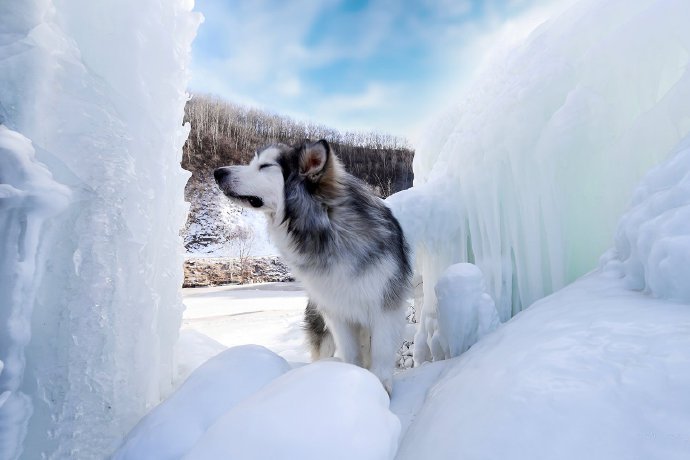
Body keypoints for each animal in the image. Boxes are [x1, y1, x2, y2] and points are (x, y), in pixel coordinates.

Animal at [214, 140, 408, 392]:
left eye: (265, 166)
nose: (218, 172)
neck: (326, 230)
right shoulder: (337, 314)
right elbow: (352, 355)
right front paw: (355, 378)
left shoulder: (385, 308)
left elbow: (382, 354)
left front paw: (381, 388)